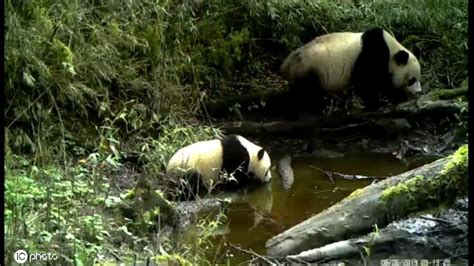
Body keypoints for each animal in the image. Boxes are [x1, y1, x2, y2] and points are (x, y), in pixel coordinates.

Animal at [280, 27, 420, 116]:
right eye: (412, 80)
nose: (419, 92)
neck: (391, 50)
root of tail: (287, 63)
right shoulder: (372, 53)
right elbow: (366, 80)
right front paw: (377, 103)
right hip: (310, 67)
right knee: (307, 92)